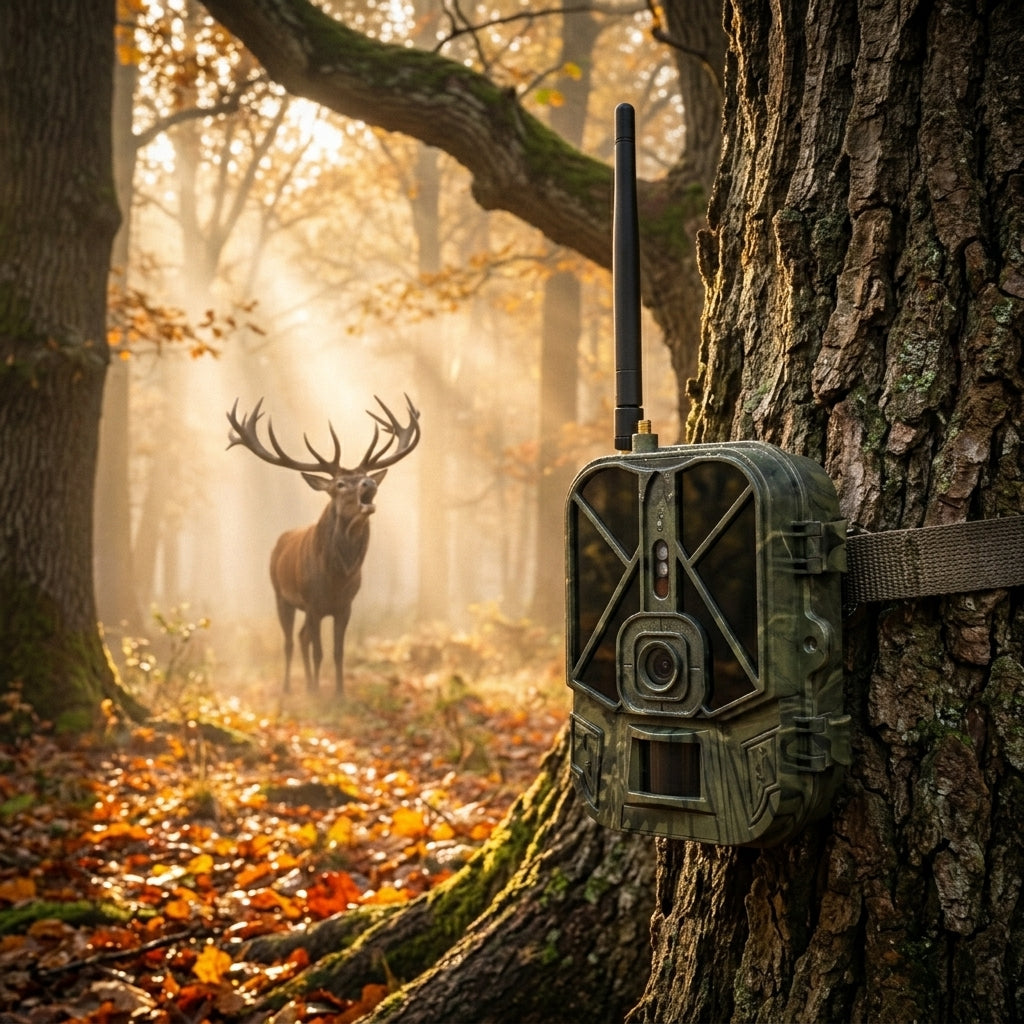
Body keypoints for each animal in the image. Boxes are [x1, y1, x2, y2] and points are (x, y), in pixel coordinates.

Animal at [226, 394, 420, 697]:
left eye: (365, 477)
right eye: (340, 483)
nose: (369, 483)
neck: (336, 578)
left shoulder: (345, 605)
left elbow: (338, 652)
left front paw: (339, 695)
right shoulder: (312, 602)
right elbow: (319, 651)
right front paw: (319, 695)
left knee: (301, 637)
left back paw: (307, 685)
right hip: (281, 595)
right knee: (290, 642)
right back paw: (289, 689)